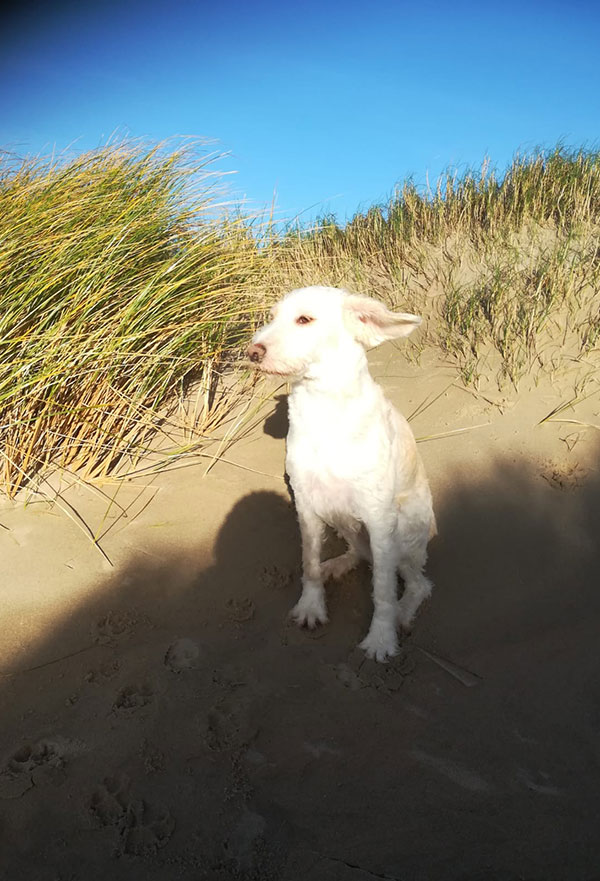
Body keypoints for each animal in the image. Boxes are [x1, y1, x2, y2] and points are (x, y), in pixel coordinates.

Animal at [248, 286, 436, 656]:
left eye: (304, 319)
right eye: (271, 317)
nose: (252, 352)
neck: (324, 408)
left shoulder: (379, 516)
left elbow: (383, 589)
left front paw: (381, 638)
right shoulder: (306, 503)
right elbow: (308, 563)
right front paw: (311, 606)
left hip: (405, 530)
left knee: (419, 583)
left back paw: (403, 613)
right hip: (341, 520)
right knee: (359, 553)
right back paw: (335, 564)